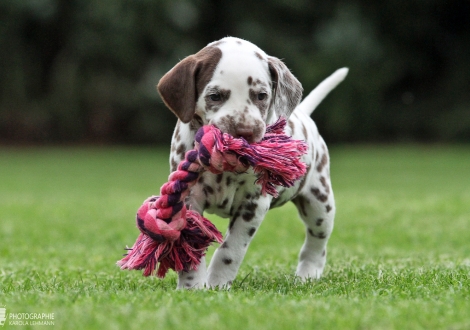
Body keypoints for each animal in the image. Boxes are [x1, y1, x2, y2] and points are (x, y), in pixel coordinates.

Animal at [159, 36, 348, 288]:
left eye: (261, 95)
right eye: (215, 96)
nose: (245, 132)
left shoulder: (253, 203)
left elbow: (231, 249)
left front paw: (218, 283)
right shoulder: (188, 198)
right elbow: (191, 248)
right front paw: (192, 287)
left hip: (320, 202)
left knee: (317, 242)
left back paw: (308, 274)